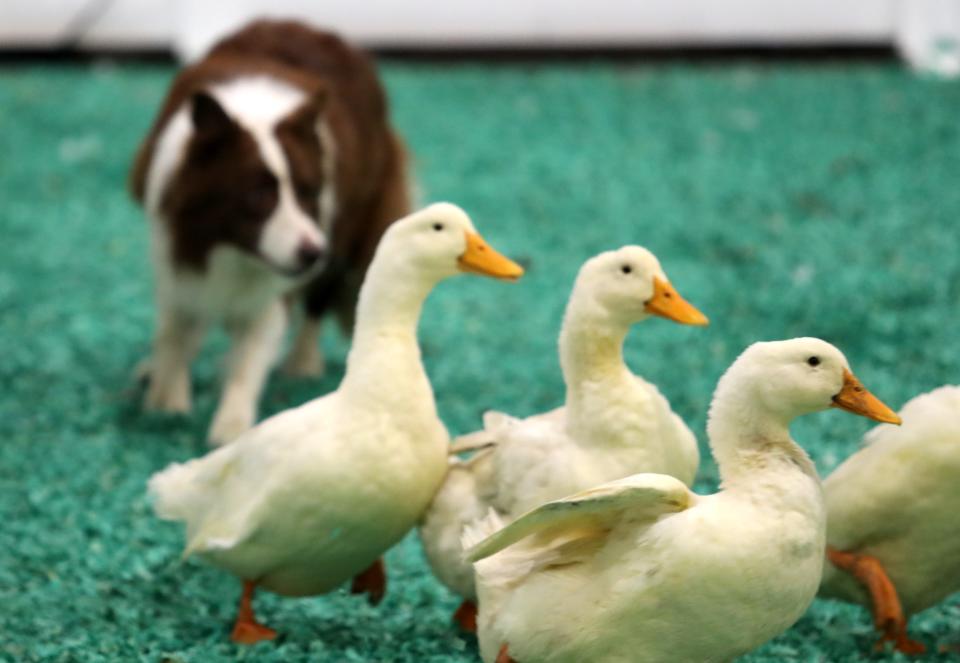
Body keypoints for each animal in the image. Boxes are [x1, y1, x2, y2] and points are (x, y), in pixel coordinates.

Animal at [131, 20, 408, 446]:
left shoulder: (282, 279)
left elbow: (250, 356)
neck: (231, 250)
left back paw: (303, 361)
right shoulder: (176, 251)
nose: (314, 253)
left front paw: (231, 431)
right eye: (258, 197)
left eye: (309, 192)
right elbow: (176, 329)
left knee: (319, 300)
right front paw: (167, 399)